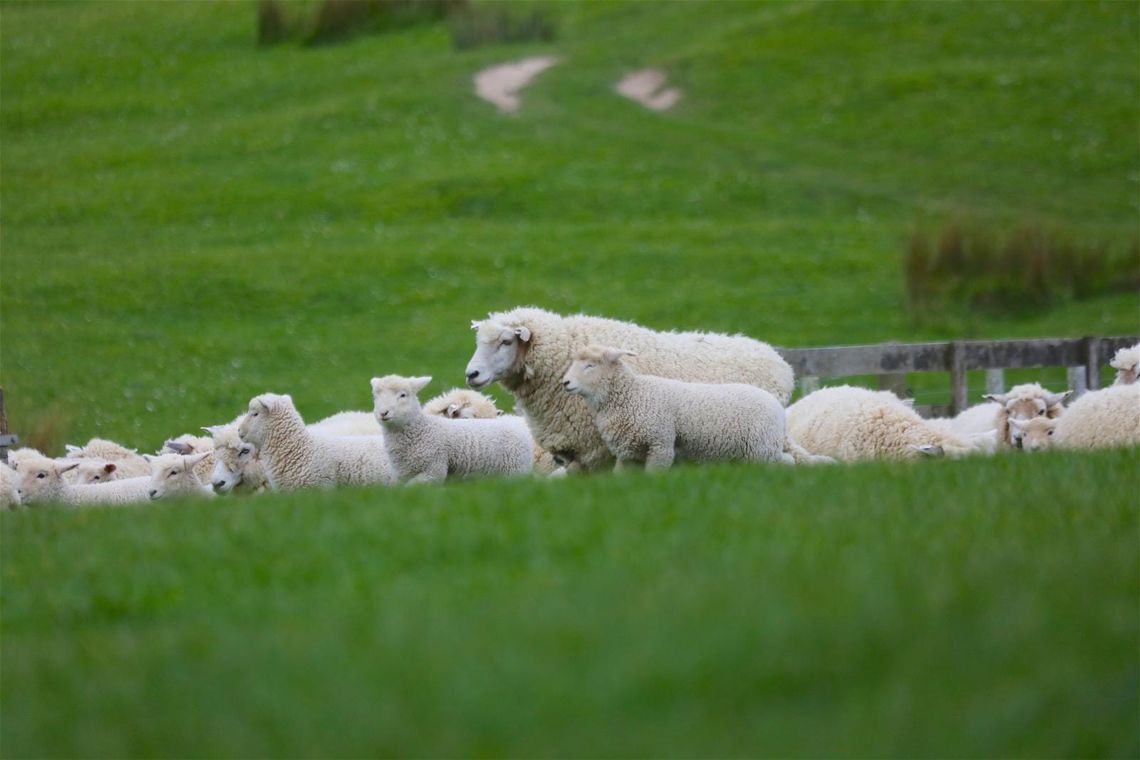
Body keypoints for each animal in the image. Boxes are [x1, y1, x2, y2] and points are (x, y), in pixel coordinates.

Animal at [371, 375, 533, 484]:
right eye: (375, 397)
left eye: (403, 395)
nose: (383, 413)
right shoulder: (400, 476)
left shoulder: (433, 470)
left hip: (513, 472)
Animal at [562, 346, 797, 470]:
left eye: (590, 365)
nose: (565, 382)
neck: (633, 394)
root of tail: (779, 409)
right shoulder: (628, 453)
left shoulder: (660, 444)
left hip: (762, 449)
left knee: (787, 462)